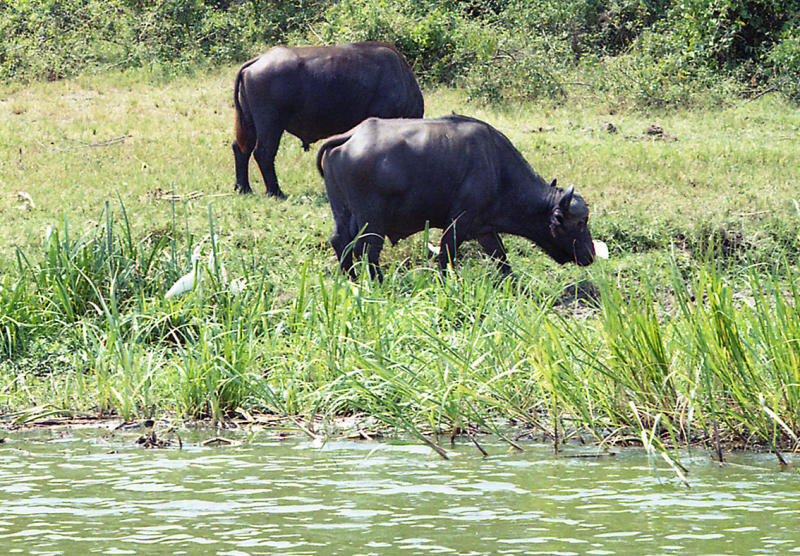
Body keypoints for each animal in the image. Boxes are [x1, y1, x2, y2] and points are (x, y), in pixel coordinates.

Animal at [231, 41, 424, 198]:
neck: (402, 81)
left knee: (241, 149)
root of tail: (258, 61)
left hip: (250, 122)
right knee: (263, 153)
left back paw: (243, 188)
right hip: (270, 124)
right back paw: (275, 192)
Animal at [316, 113, 596, 280]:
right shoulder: (459, 221)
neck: (498, 170)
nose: (590, 255)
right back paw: (377, 283)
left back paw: (350, 278)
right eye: (579, 223)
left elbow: (501, 257)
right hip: (372, 218)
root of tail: (352, 135)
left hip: (342, 210)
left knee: (340, 241)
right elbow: (446, 253)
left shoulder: (484, 229)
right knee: (368, 249)